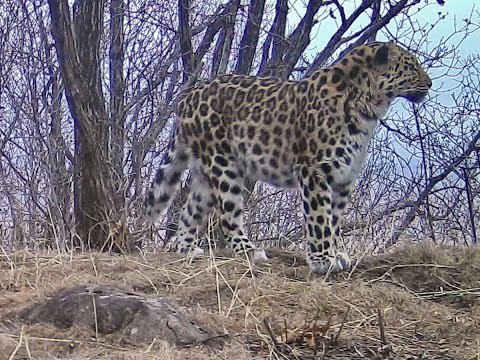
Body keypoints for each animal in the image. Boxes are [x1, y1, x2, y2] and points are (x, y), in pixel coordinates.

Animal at [144, 40, 434, 274]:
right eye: (411, 65)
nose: (430, 83)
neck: (369, 108)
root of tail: (188, 96)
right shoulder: (315, 169)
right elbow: (319, 216)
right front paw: (322, 260)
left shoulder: (343, 176)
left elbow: (335, 218)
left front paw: (336, 253)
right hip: (224, 164)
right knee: (227, 215)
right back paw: (250, 251)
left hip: (207, 168)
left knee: (191, 209)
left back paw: (186, 249)